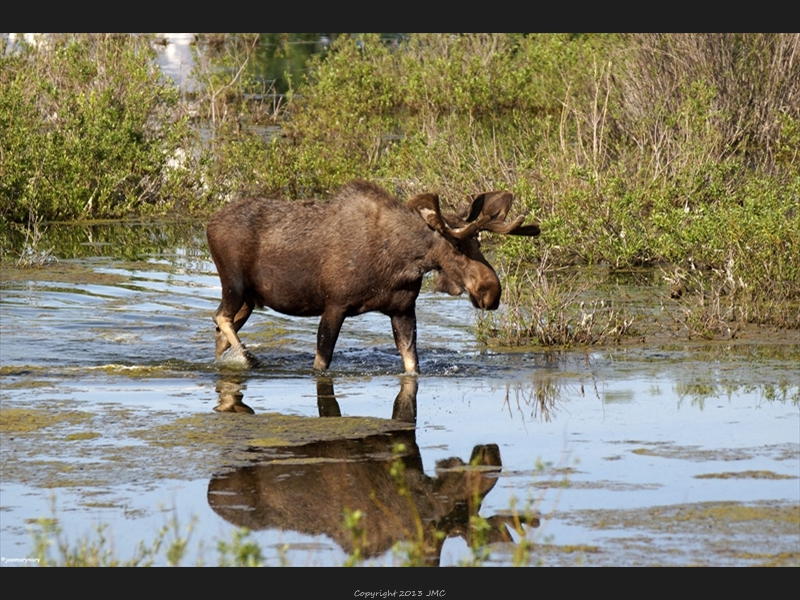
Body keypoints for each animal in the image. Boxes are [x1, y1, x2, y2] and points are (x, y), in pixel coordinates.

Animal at [206, 180, 540, 372]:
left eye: (479, 244)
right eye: (457, 246)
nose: (491, 291)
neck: (400, 264)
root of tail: (209, 223)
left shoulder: (403, 310)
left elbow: (412, 364)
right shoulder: (335, 305)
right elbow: (321, 363)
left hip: (251, 298)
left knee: (221, 331)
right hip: (233, 284)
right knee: (219, 316)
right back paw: (249, 359)